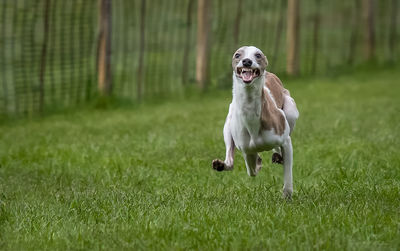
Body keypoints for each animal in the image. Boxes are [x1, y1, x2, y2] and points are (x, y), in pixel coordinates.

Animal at [211, 45, 298, 198]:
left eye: (258, 55)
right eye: (237, 55)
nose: (247, 61)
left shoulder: (286, 142)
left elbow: (288, 175)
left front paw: (287, 196)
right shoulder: (246, 149)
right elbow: (251, 169)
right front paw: (258, 162)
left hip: (290, 109)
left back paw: (277, 155)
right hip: (227, 125)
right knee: (231, 160)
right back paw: (222, 164)